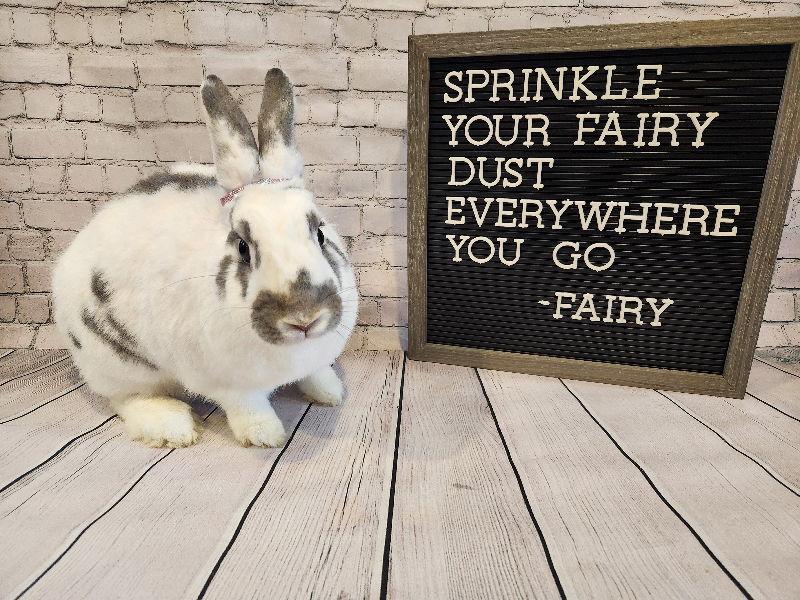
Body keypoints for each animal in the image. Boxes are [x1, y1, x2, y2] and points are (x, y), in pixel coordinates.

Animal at [52, 69, 358, 448]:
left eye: (320, 234)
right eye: (242, 247)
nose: (304, 318)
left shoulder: (313, 360)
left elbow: (316, 373)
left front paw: (331, 393)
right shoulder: (227, 385)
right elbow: (248, 407)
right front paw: (266, 436)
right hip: (115, 363)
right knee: (124, 398)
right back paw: (172, 426)